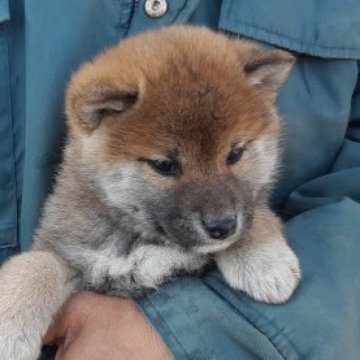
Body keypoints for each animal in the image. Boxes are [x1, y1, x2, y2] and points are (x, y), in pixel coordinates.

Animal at [0, 26, 300, 360]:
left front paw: (264, 262)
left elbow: (257, 209)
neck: (139, 240)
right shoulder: (68, 251)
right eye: (165, 165)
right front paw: (8, 331)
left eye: (235, 153)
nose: (222, 226)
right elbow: (34, 266)